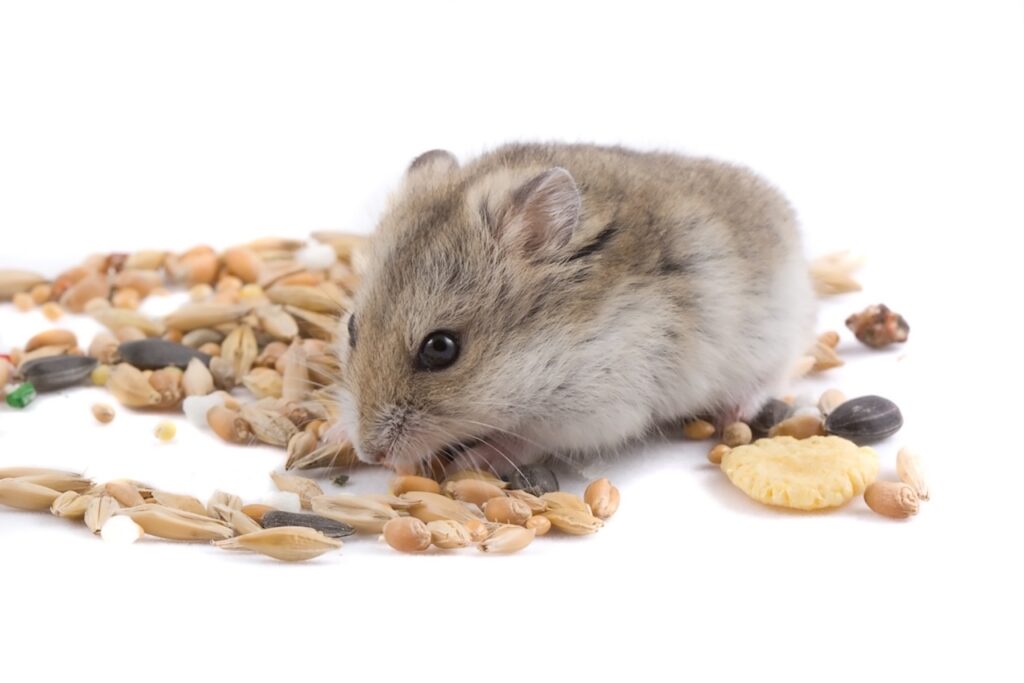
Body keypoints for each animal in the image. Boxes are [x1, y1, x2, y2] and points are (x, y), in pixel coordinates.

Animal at [336, 143, 816, 474]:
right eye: (352, 328)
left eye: (440, 348)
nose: (372, 455)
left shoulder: (595, 408)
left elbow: (527, 439)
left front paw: (472, 462)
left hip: (774, 334)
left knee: (773, 374)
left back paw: (732, 414)